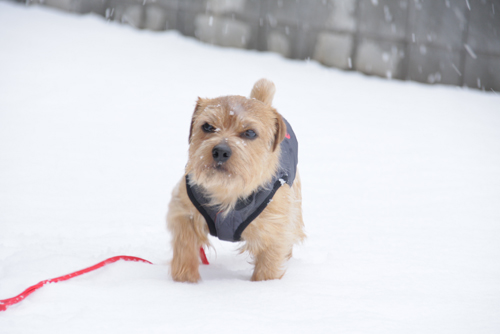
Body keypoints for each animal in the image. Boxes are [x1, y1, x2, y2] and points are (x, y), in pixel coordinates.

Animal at [168, 79, 304, 282]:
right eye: (208, 126)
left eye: (250, 133)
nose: (220, 151)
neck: (227, 189)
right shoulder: (184, 210)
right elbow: (185, 243)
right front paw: (185, 280)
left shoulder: (275, 230)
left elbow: (268, 265)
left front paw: (265, 286)